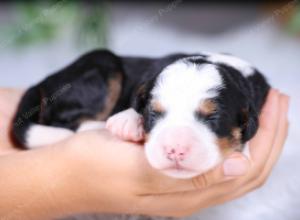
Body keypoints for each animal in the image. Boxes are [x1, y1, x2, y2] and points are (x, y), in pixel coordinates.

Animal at [11, 49, 270, 179]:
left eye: (212, 118)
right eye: (153, 114)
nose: (174, 149)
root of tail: (43, 82)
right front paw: (127, 122)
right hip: (103, 65)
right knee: (65, 123)